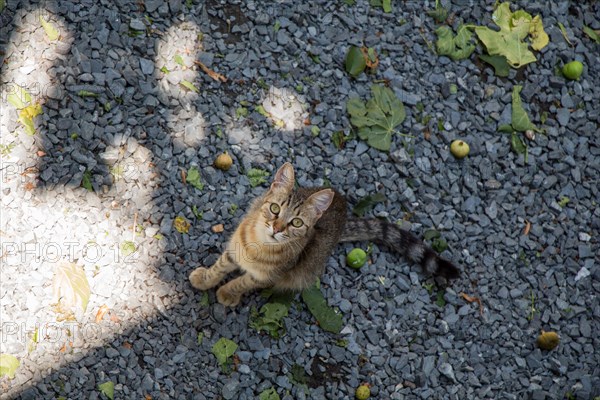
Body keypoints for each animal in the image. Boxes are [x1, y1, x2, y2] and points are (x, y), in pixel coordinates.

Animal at [190, 162, 458, 306]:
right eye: (275, 209)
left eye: (296, 222)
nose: (277, 228)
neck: (258, 246)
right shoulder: (233, 249)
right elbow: (219, 267)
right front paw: (205, 278)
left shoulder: (265, 277)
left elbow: (241, 283)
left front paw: (227, 292)